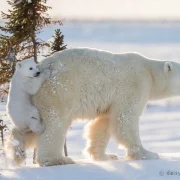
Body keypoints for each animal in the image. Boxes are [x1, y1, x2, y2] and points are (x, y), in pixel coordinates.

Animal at [30, 47, 179, 166]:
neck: (149, 72)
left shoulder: (110, 101)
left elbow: (103, 122)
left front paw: (106, 156)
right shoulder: (135, 85)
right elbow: (125, 119)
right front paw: (148, 154)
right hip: (58, 92)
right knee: (55, 125)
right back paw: (58, 159)